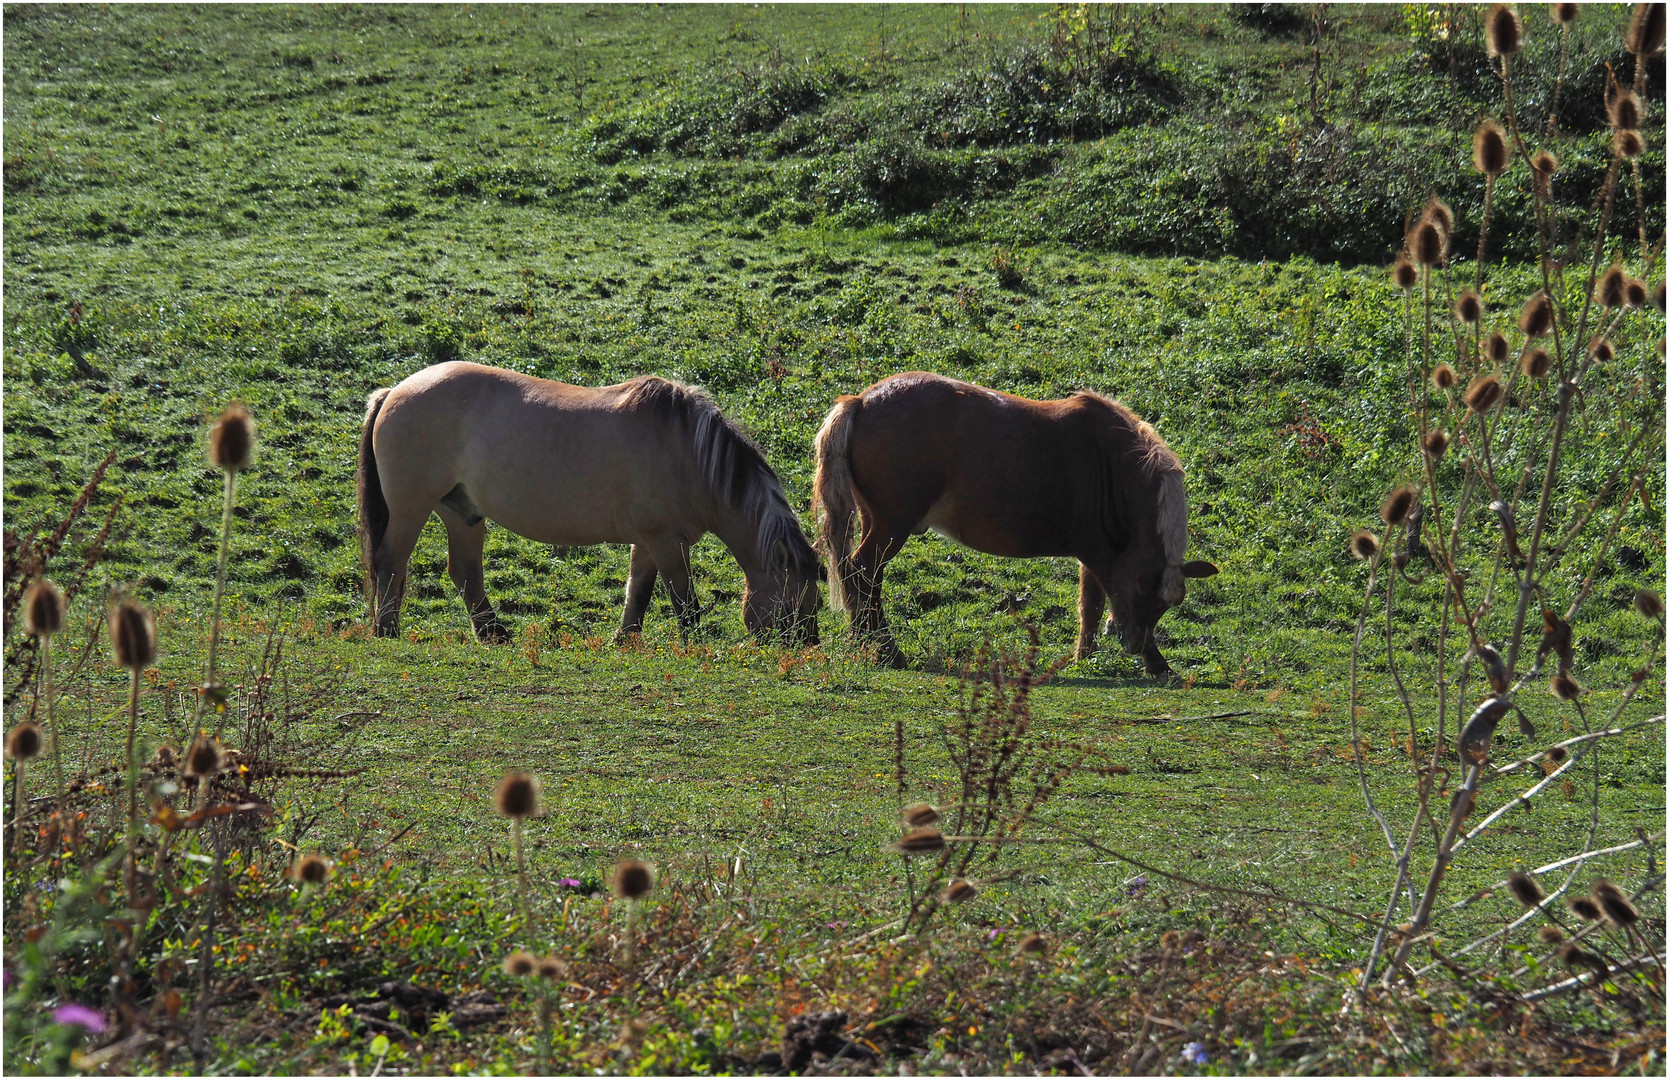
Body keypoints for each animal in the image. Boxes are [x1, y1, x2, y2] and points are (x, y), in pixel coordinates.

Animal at [358, 363, 821, 647]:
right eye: (796, 602)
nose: (807, 647)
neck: (687, 450)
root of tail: (394, 391)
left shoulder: (650, 541)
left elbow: (638, 592)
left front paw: (625, 640)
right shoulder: (667, 542)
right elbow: (683, 600)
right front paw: (695, 644)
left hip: (462, 513)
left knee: (464, 573)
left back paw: (494, 633)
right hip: (411, 507)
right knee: (390, 562)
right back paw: (387, 629)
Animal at [811, 373, 1215, 674]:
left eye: (1167, 605)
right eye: (1143, 591)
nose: (1132, 644)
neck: (1110, 463)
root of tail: (862, 401)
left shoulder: (1096, 556)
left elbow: (1091, 605)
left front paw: (1083, 658)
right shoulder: (1100, 555)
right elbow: (1101, 600)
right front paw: (1157, 664)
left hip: (874, 521)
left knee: (859, 574)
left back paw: (867, 642)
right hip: (892, 525)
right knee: (863, 571)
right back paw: (885, 649)